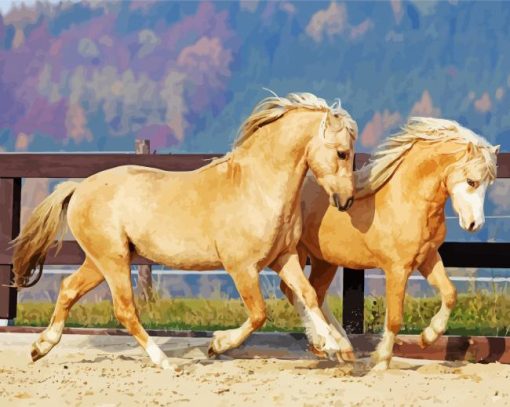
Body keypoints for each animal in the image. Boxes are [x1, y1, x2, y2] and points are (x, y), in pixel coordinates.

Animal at [13, 91, 360, 370]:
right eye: (342, 153)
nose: (346, 200)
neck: (257, 188)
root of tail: (79, 187)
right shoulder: (242, 268)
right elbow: (259, 314)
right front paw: (216, 345)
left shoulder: (283, 258)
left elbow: (308, 295)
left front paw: (335, 347)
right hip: (112, 261)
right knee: (125, 310)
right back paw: (164, 361)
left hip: (102, 261)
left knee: (69, 288)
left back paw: (40, 347)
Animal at [278, 116, 498, 372]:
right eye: (471, 181)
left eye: (488, 184)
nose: (474, 224)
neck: (406, 198)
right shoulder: (397, 269)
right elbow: (394, 318)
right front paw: (381, 361)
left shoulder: (428, 258)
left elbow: (450, 293)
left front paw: (428, 337)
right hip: (298, 253)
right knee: (296, 292)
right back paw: (325, 344)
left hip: (325, 261)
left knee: (315, 294)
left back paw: (343, 349)